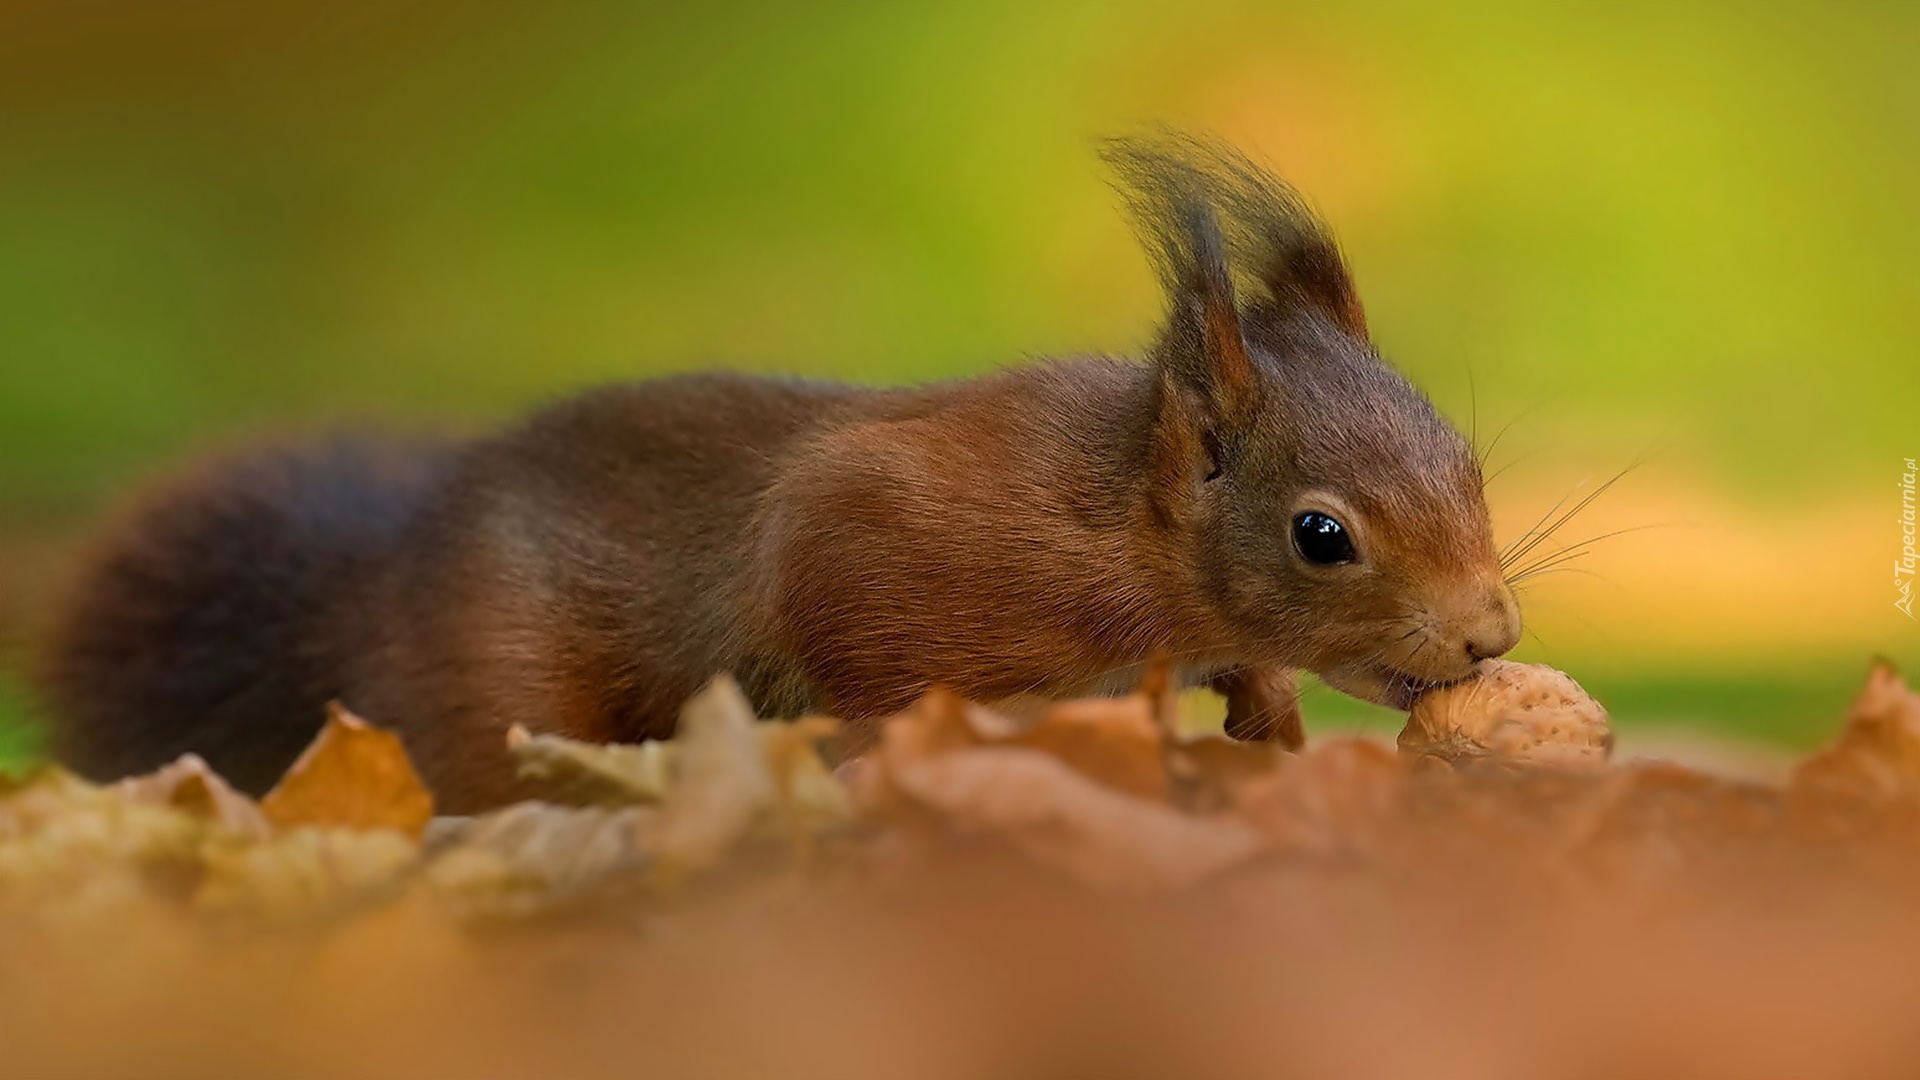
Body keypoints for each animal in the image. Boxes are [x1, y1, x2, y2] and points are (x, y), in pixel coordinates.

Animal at [37, 132, 1520, 807]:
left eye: (1468, 465)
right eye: (1321, 534)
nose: (1492, 637)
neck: (1115, 516)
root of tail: (378, 593)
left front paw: (1264, 714)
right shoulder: (874, 538)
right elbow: (841, 634)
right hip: (494, 689)